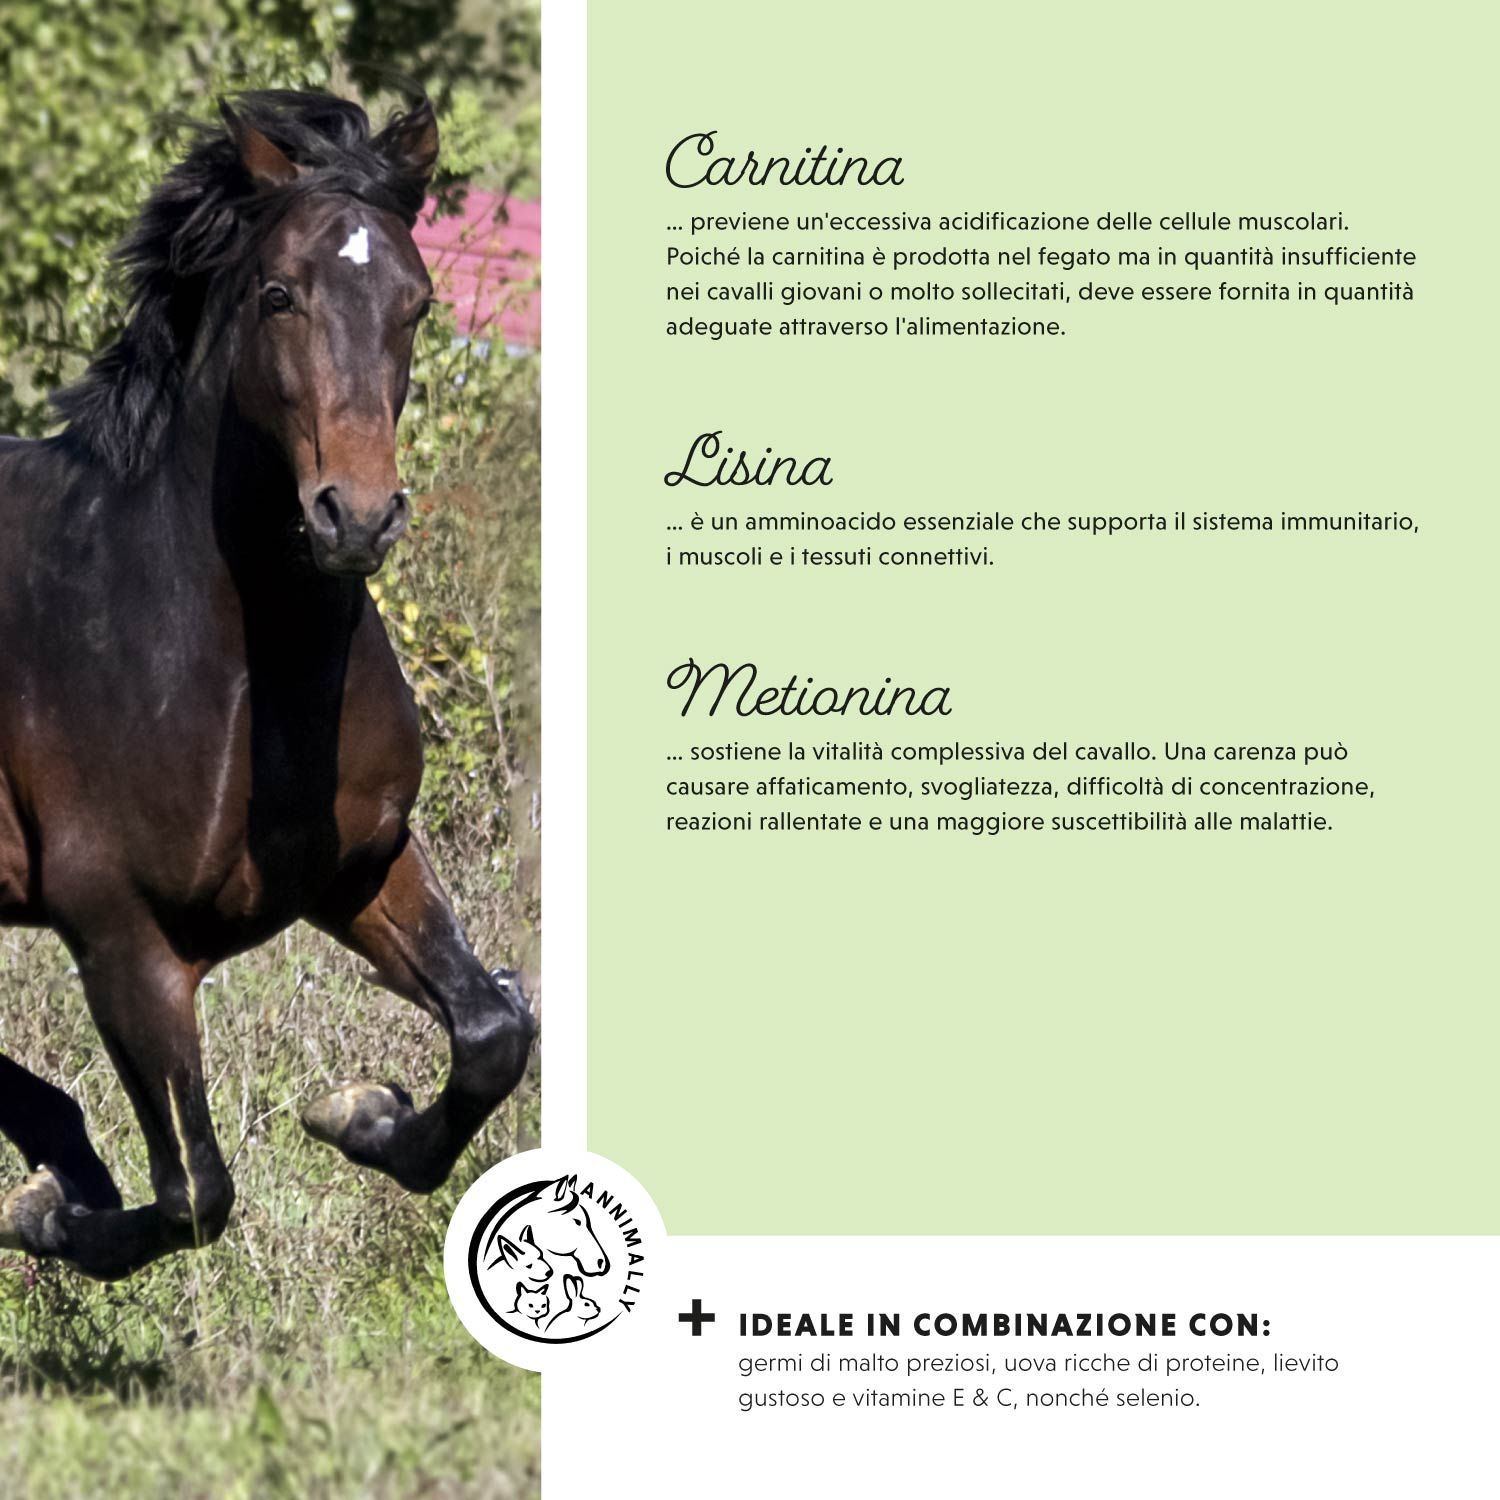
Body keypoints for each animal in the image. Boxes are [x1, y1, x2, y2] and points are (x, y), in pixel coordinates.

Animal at [0, 90, 534, 1280]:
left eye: (418, 304)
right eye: (279, 294)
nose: (357, 518)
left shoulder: (363, 865)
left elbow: (493, 1032)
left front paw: (361, 1112)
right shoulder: (124, 941)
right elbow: (195, 1192)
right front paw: (46, 1214)